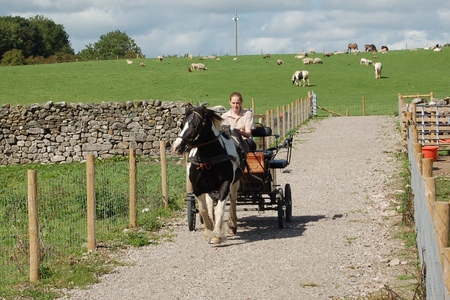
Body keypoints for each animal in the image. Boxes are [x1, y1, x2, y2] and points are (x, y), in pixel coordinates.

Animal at [172, 105, 244, 244]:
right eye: (182, 124)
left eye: (195, 125)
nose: (176, 147)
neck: (209, 158)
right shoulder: (197, 187)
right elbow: (204, 209)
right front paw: (209, 229)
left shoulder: (225, 184)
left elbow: (220, 209)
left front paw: (216, 234)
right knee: (210, 204)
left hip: (235, 182)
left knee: (233, 200)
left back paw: (232, 224)